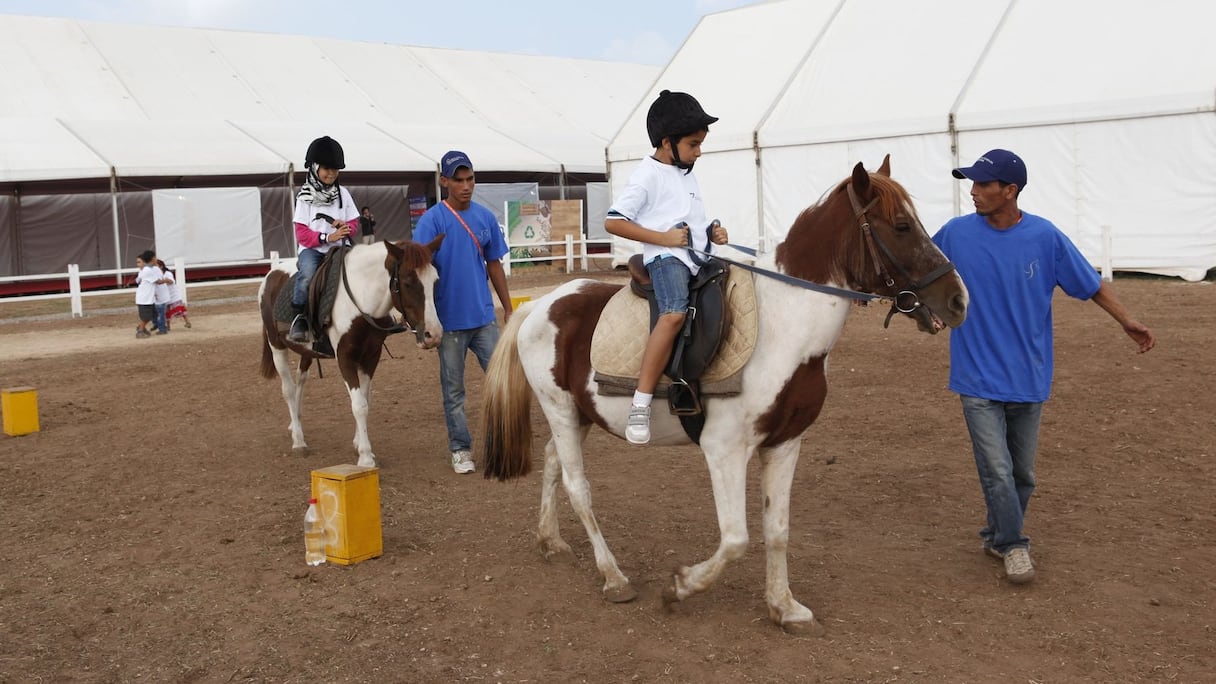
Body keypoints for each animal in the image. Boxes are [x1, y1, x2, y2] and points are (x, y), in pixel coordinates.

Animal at [259, 237, 445, 464]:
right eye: (408, 282)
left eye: (435, 281)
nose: (433, 334)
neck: (361, 299)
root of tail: (272, 273)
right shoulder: (345, 357)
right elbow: (359, 405)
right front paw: (365, 457)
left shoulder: (371, 356)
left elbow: (366, 400)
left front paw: (359, 445)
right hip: (277, 346)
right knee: (288, 389)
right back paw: (298, 440)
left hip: (306, 351)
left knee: (300, 380)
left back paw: (296, 423)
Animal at [479, 154, 963, 628]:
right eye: (901, 225)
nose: (959, 301)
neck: (783, 327)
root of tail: (540, 305)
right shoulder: (724, 450)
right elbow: (736, 539)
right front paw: (679, 588)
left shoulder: (784, 445)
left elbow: (777, 531)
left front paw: (784, 607)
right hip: (559, 408)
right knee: (578, 486)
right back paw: (613, 577)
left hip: (579, 413)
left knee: (552, 463)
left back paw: (551, 541)